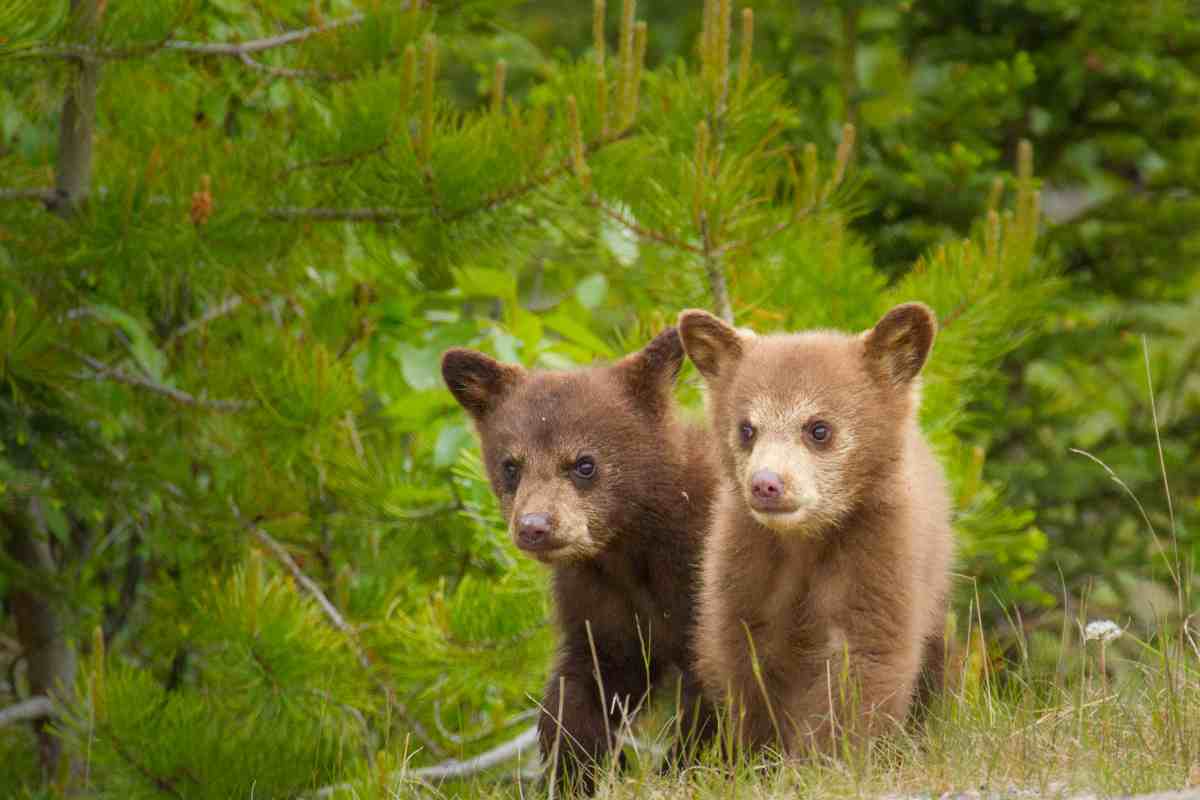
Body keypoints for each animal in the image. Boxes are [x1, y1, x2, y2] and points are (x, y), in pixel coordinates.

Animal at [441, 328, 719, 792]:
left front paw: (685, 769)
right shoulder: (598, 595)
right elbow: (592, 676)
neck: (629, 550)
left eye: (584, 464)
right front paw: (579, 769)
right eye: (511, 465)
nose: (534, 527)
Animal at [677, 302, 954, 757]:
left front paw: (828, 757)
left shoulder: (877, 551)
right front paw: (757, 755)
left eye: (819, 428)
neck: (803, 543)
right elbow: (745, 663)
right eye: (746, 429)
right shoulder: (743, 562)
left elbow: (863, 659)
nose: (766, 484)